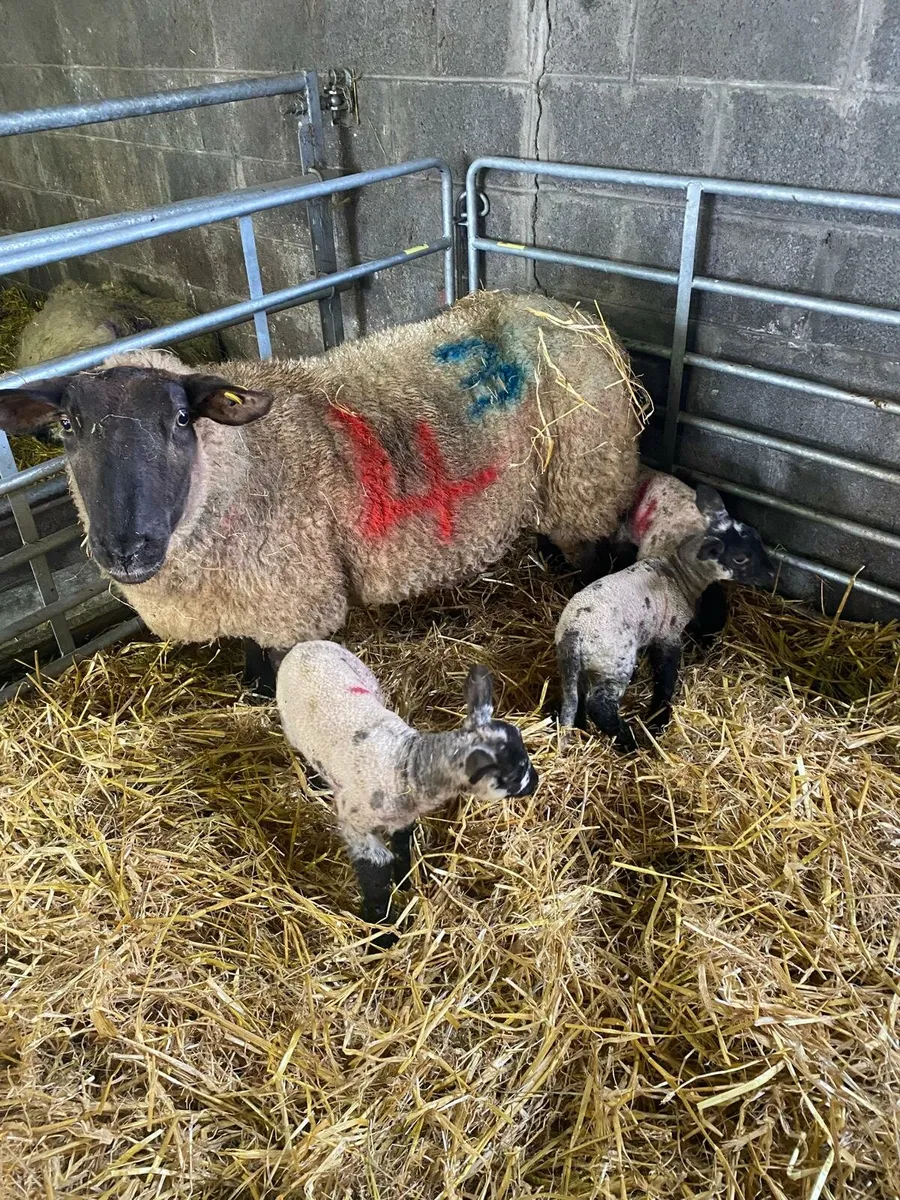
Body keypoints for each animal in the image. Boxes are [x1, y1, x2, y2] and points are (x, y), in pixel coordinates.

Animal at [0, 291, 644, 667]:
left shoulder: (293, 603)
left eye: (182, 419)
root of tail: (566, 308)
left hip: (589, 475)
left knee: (595, 550)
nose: (125, 548)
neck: (245, 464)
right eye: (67, 426)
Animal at [276, 642, 538, 940]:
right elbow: (375, 876)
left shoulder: (402, 817)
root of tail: (305, 645)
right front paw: (381, 933)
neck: (406, 762)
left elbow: (403, 846)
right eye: (513, 775)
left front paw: (404, 882)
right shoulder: (356, 828)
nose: (535, 782)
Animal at [555, 517, 775, 752]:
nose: (772, 574)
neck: (679, 574)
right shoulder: (668, 634)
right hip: (614, 662)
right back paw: (629, 742)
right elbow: (666, 674)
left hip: (581, 666)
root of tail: (573, 633)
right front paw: (659, 717)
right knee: (600, 707)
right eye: (740, 558)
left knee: (575, 696)